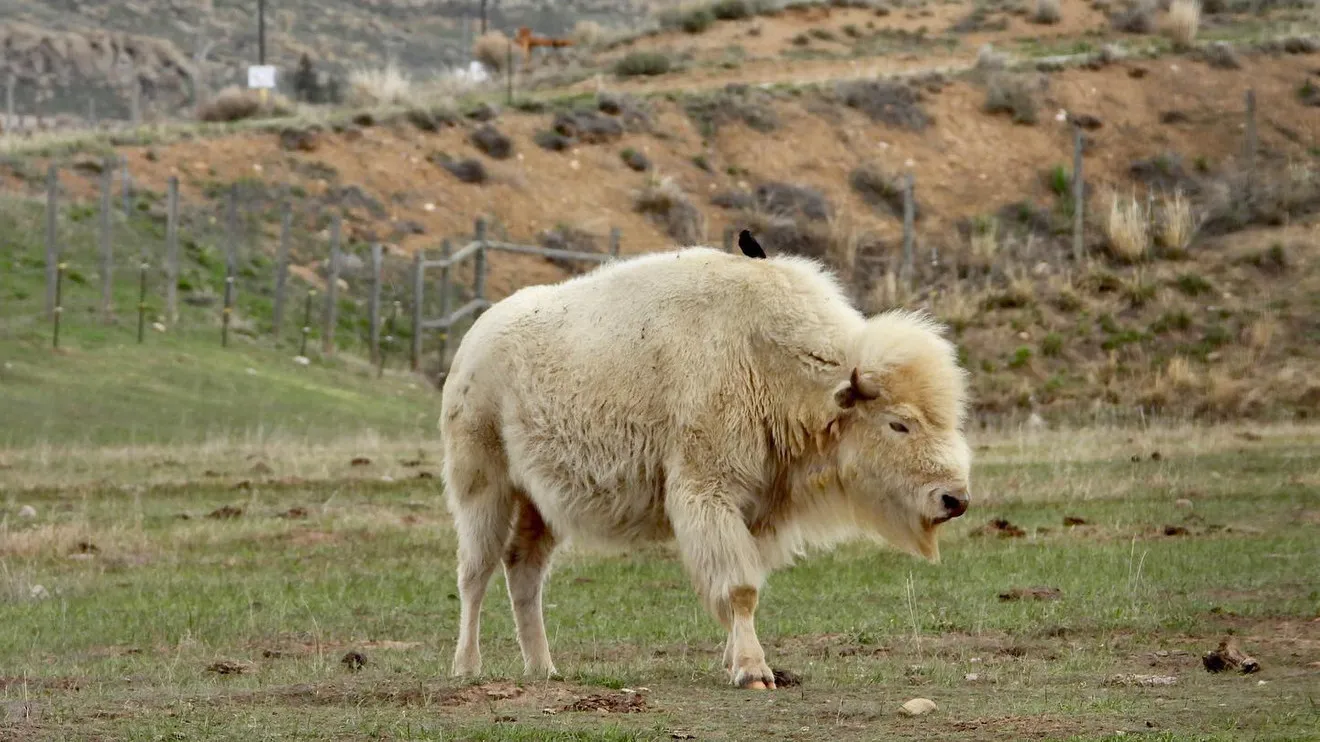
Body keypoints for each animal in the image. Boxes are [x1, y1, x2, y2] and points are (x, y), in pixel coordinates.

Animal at [438, 244, 976, 686]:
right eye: (899, 424)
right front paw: (754, 672)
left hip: (541, 503)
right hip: (483, 486)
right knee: (475, 572)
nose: (955, 499)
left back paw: (543, 668)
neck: (768, 358)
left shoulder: (755, 511)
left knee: (523, 569)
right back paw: (466, 668)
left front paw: (734, 660)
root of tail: (473, 341)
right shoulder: (709, 493)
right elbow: (739, 587)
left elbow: (744, 584)